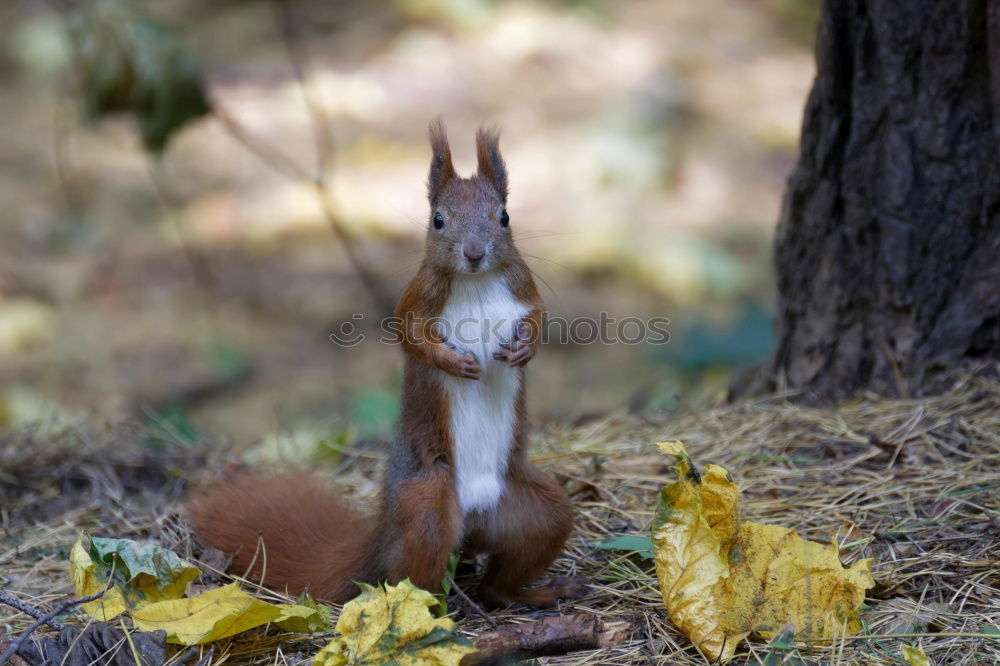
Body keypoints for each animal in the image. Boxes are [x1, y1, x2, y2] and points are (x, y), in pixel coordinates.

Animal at [188, 119, 576, 608]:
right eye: (438, 219)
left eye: (504, 216)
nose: (473, 253)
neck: (477, 282)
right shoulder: (416, 298)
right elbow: (408, 336)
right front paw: (453, 363)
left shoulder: (523, 286)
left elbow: (539, 317)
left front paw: (524, 350)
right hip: (428, 505)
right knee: (411, 572)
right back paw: (425, 613)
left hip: (535, 511)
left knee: (507, 572)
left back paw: (528, 595)